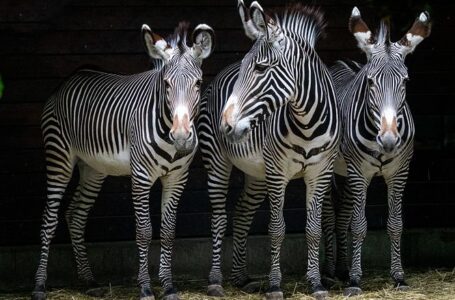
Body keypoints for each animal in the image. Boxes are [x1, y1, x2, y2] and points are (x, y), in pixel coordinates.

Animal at [32, 22, 214, 300]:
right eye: (166, 84)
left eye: (199, 83)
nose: (182, 137)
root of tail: (71, 78)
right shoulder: (140, 176)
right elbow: (144, 231)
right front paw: (146, 287)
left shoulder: (176, 178)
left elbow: (168, 232)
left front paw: (168, 286)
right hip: (58, 156)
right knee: (48, 221)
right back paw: (40, 285)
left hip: (93, 168)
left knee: (75, 215)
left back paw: (90, 281)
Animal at [198, 1, 340, 298]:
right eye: (247, 67)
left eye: (261, 68)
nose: (226, 125)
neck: (307, 122)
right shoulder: (277, 173)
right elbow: (276, 228)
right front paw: (275, 285)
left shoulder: (320, 173)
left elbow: (313, 229)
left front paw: (316, 283)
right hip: (218, 163)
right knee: (218, 217)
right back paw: (216, 281)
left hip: (256, 174)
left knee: (242, 213)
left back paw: (241, 278)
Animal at [322, 7, 432, 298]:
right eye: (370, 82)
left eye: (405, 81)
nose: (389, 140)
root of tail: (340, 63)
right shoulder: (360, 172)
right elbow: (359, 226)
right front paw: (355, 281)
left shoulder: (400, 173)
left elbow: (395, 225)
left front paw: (399, 277)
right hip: (330, 168)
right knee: (328, 217)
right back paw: (330, 273)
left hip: (346, 174)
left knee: (342, 217)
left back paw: (341, 269)